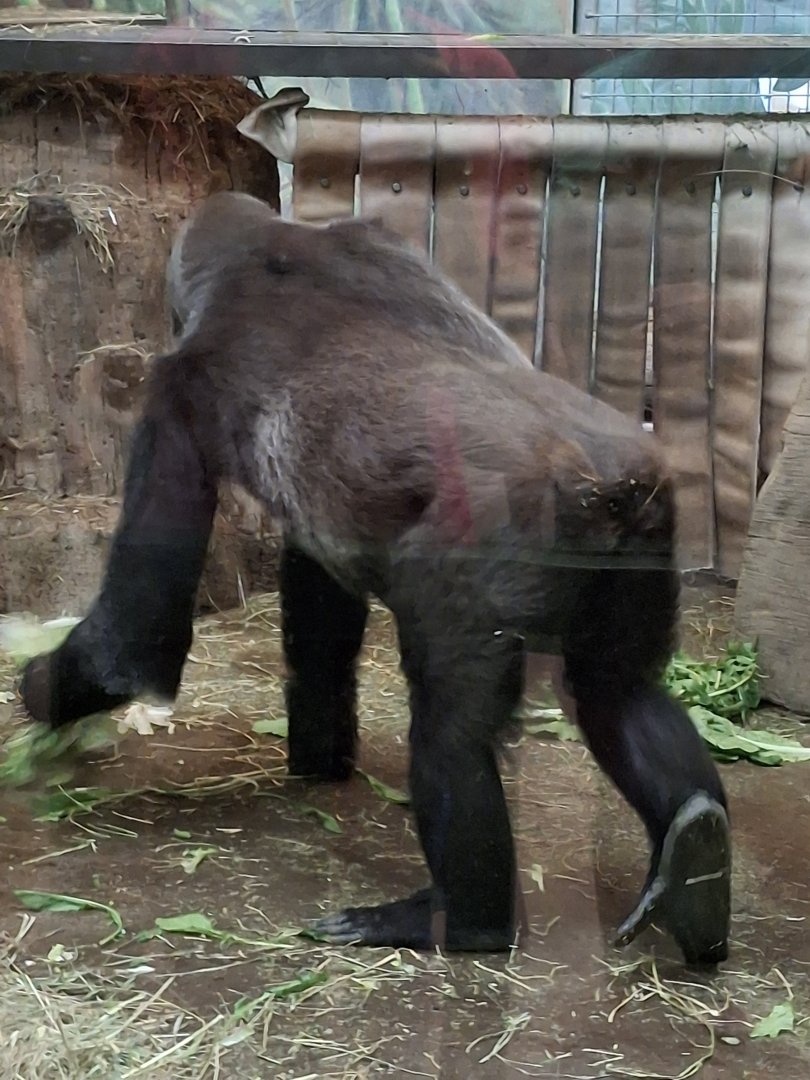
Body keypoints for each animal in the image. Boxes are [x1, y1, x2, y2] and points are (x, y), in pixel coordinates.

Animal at [19, 191, 731, 965]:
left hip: (486, 558)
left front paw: (37, 689)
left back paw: (461, 920)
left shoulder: (176, 390)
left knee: (450, 730)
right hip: (648, 536)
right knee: (614, 690)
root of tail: (607, 487)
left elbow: (132, 640)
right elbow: (319, 611)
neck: (268, 246)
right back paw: (696, 850)